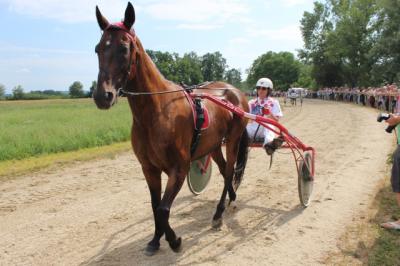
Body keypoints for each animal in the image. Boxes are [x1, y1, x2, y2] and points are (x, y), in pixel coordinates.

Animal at [94, 2, 250, 256]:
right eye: (98, 48)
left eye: (124, 48)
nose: (102, 96)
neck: (157, 112)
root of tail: (235, 91)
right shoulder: (149, 168)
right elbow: (155, 205)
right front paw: (155, 240)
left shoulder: (179, 168)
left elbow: (163, 209)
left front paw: (174, 240)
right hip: (213, 145)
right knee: (224, 168)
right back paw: (231, 199)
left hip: (234, 139)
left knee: (228, 172)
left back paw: (218, 214)